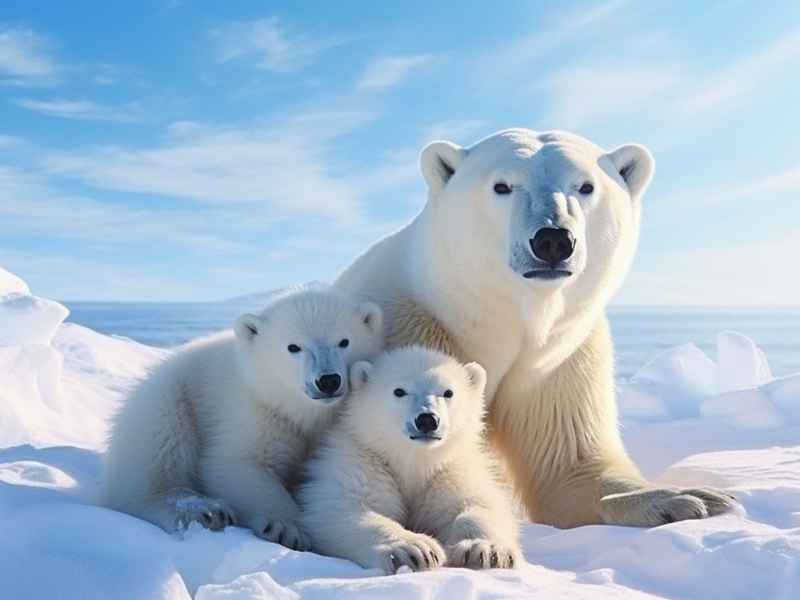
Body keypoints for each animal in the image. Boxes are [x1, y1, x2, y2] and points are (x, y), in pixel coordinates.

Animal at [102, 286, 383, 550]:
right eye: (293, 347)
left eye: (344, 341)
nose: (328, 381)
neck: (295, 409)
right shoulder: (252, 410)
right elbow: (236, 463)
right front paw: (287, 528)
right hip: (168, 397)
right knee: (160, 451)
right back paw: (204, 509)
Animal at [298, 346, 521, 573]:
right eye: (399, 391)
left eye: (448, 392)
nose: (427, 420)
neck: (414, 460)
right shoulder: (361, 461)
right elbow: (343, 507)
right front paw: (415, 550)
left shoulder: (449, 470)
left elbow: (478, 504)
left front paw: (485, 550)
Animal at [332, 128, 737, 528]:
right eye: (502, 186)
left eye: (586, 186)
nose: (553, 239)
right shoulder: (407, 328)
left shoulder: (558, 359)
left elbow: (569, 465)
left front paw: (689, 498)